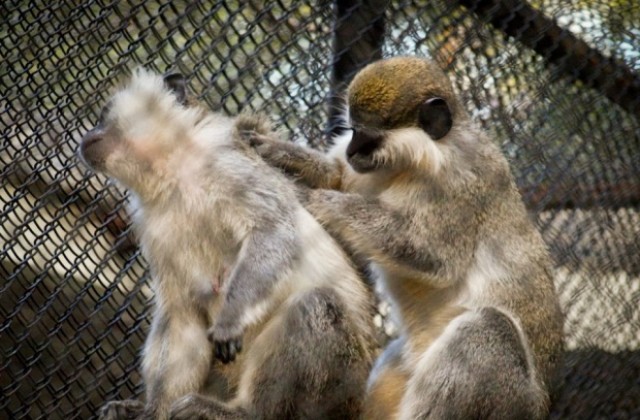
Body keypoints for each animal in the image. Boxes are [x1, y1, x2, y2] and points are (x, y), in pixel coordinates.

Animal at [78, 69, 376, 420]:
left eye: (103, 115)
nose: (87, 134)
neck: (177, 174)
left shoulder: (227, 162)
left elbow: (272, 230)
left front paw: (230, 318)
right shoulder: (153, 222)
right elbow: (182, 313)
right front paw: (154, 412)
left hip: (339, 390)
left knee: (314, 303)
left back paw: (247, 412)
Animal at [245, 56, 564, 420]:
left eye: (367, 136)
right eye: (351, 131)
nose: (351, 151)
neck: (419, 159)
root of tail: (543, 406)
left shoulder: (462, 179)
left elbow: (434, 256)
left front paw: (308, 197)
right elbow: (337, 176)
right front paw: (273, 150)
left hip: (510, 402)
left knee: (489, 326)